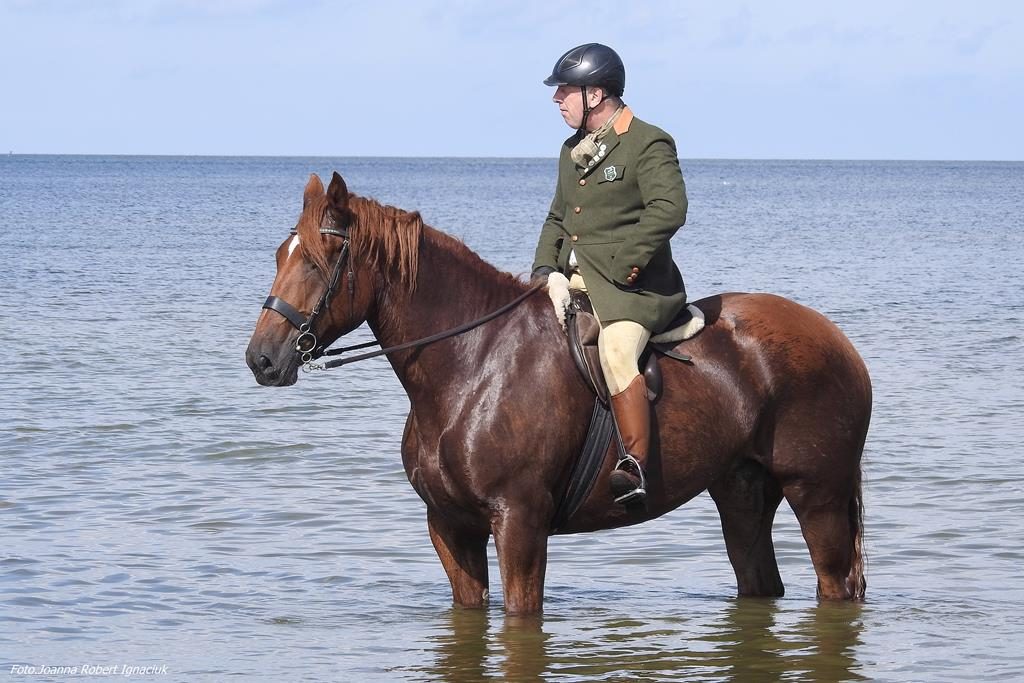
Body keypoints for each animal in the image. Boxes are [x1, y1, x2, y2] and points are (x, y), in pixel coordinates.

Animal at [245, 172, 872, 615]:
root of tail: (837, 339)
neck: (473, 363)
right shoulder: (450, 528)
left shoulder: (519, 524)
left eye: (318, 261)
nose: (262, 359)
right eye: (279, 256)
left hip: (817, 495)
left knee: (834, 584)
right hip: (742, 494)